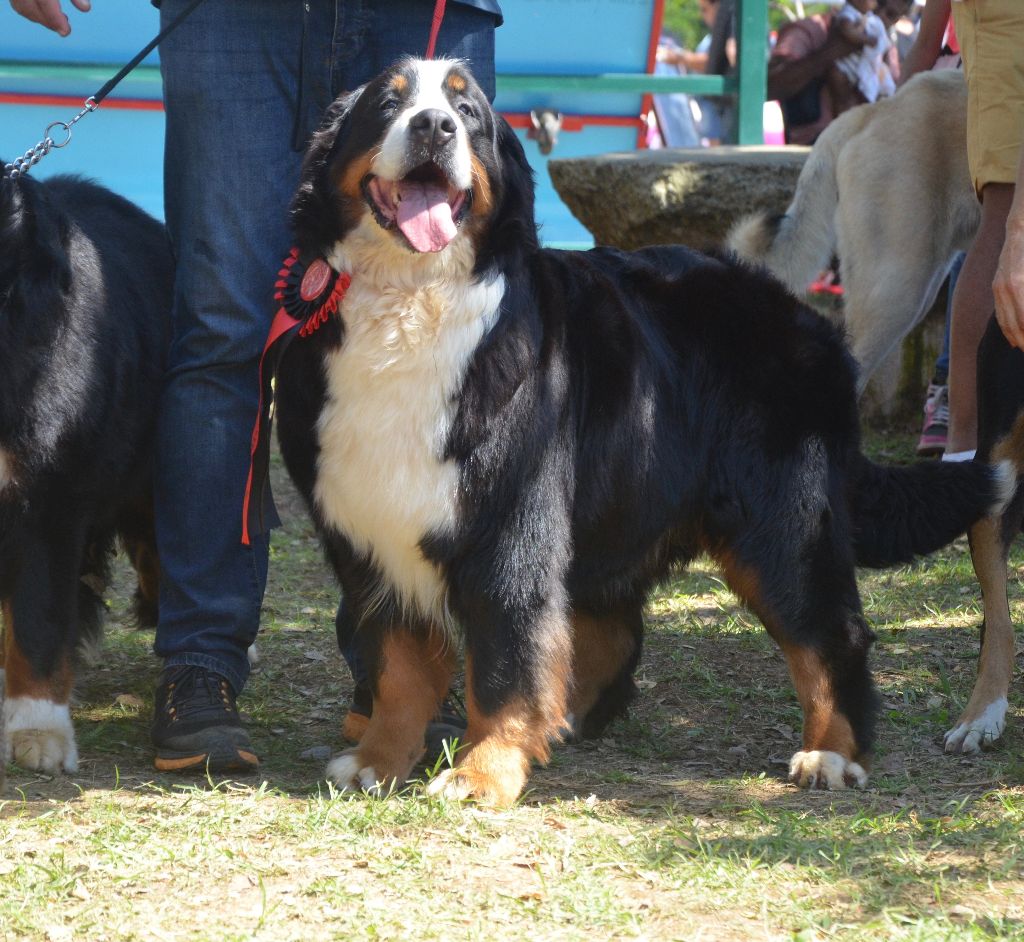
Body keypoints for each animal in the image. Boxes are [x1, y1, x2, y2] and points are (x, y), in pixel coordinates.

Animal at [272, 58, 1024, 806]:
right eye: (389, 103)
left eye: (468, 112)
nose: (433, 126)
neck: (412, 303)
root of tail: (803, 318)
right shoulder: (371, 531)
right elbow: (398, 664)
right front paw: (379, 759)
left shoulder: (512, 526)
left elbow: (506, 659)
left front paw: (483, 769)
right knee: (613, 632)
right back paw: (564, 722)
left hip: (779, 519)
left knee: (830, 632)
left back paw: (831, 753)